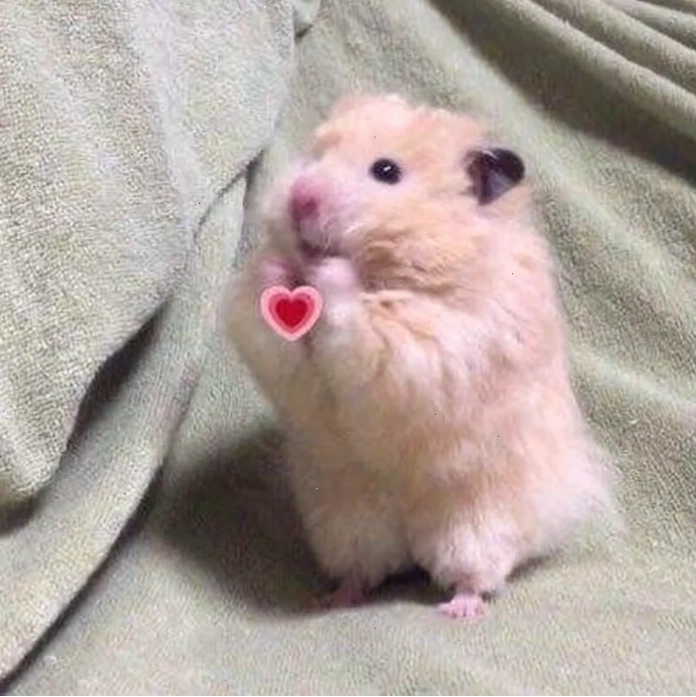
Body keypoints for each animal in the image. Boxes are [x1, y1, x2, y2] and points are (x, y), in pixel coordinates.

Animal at [223, 94, 618, 619]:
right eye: (314, 155)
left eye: (386, 171)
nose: (300, 196)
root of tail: (410, 540)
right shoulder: (274, 351)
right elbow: (268, 321)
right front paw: (275, 267)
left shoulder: (437, 346)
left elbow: (367, 320)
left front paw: (330, 272)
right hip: (347, 519)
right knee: (363, 568)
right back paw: (333, 597)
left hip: (475, 521)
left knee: (475, 573)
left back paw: (460, 609)